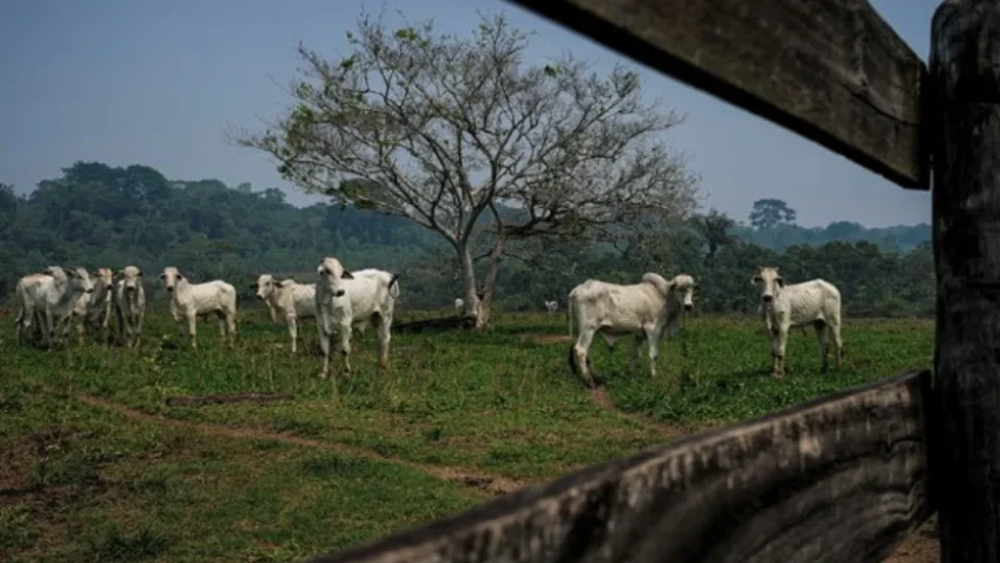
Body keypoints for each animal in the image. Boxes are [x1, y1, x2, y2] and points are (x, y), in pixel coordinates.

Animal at [564, 274, 696, 388]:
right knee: (581, 350)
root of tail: (578, 289)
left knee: (587, 352)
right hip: (588, 328)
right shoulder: (653, 330)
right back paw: (589, 381)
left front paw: (632, 375)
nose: (688, 306)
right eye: (680, 289)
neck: (663, 296)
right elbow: (653, 355)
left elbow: (634, 354)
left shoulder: (639, 334)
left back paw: (595, 377)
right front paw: (653, 377)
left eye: (691, 289)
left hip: (587, 330)